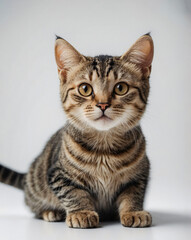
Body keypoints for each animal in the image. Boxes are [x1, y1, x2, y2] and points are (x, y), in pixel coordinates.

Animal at [0, 33, 154, 227]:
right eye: (85, 89)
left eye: (121, 88)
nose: (103, 104)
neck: (104, 150)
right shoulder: (58, 175)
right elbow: (74, 193)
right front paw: (82, 213)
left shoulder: (140, 175)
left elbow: (133, 194)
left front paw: (133, 212)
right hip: (37, 186)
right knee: (34, 205)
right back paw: (50, 212)